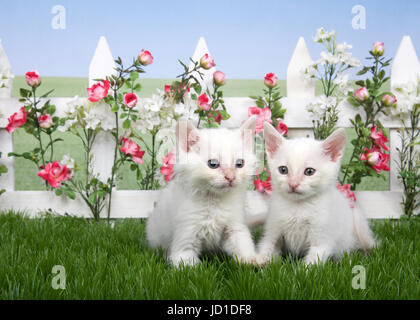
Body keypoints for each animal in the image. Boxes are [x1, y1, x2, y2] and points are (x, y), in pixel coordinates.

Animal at [148, 116, 260, 266]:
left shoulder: (235, 226)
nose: (231, 177)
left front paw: (253, 259)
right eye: (213, 164)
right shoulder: (185, 240)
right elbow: (191, 266)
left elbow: (242, 244)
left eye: (239, 164)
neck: (214, 201)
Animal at [258, 122, 376, 264]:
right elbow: (267, 246)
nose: (293, 184)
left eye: (309, 171)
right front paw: (259, 262)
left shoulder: (322, 240)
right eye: (283, 170)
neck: (298, 206)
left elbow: (312, 263)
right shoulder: (273, 229)